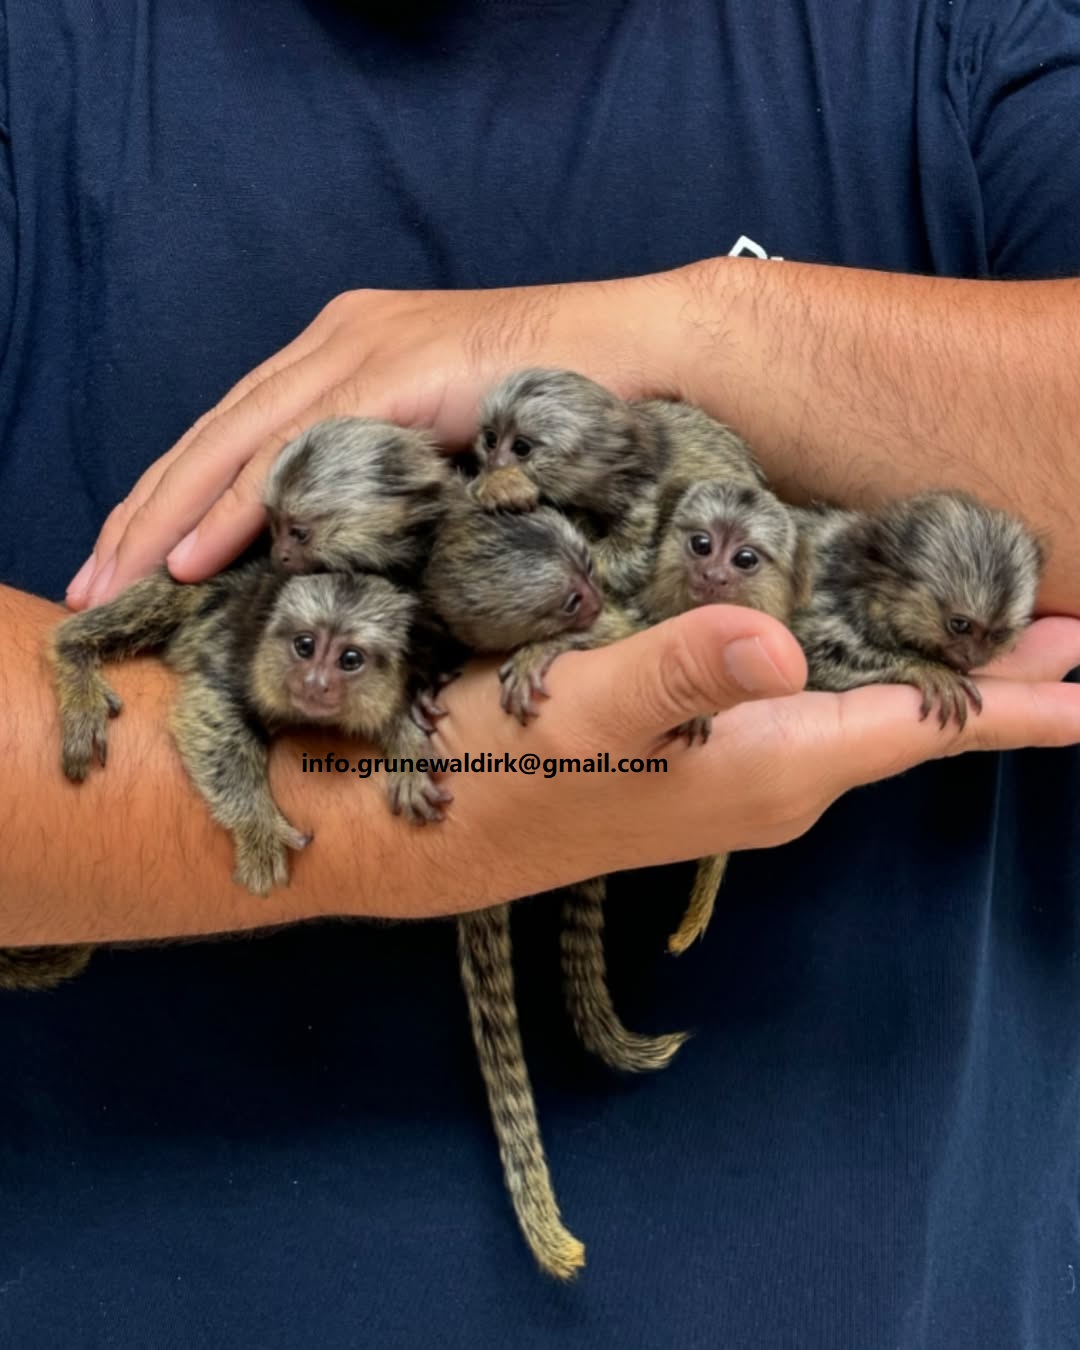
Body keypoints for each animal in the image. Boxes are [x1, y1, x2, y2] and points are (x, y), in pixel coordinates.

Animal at [50, 561, 448, 897]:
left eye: (350, 659)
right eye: (305, 646)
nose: (315, 683)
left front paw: (409, 753)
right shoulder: (233, 662)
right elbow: (210, 712)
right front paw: (258, 827)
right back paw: (74, 659)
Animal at [470, 368, 766, 599]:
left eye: (521, 448)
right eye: (491, 440)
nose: (494, 462)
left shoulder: (641, 499)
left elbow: (628, 563)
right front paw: (498, 488)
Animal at [789, 489, 1044, 725]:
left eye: (998, 635)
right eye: (960, 625)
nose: (974, 657)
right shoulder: (825, 603)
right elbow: (818, 657)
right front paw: (925, 668)